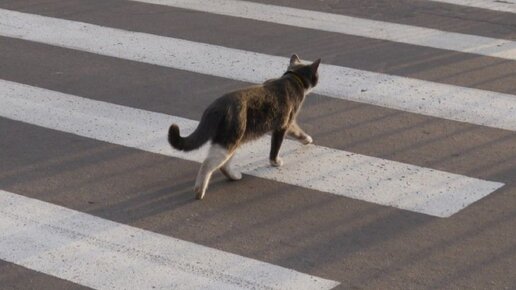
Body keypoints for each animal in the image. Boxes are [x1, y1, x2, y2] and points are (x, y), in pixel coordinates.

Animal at [167, 54, 320, 199]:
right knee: (208, 164)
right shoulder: (283, 125)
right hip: (230, 139)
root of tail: (216, 106)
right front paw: (275, 162)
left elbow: (298, 132)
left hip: (235, 138)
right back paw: (199, 191)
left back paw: (234, 176)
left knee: (223, 165)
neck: (292, 78)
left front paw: (307, 139)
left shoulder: (289, 123)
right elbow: (275, 148)